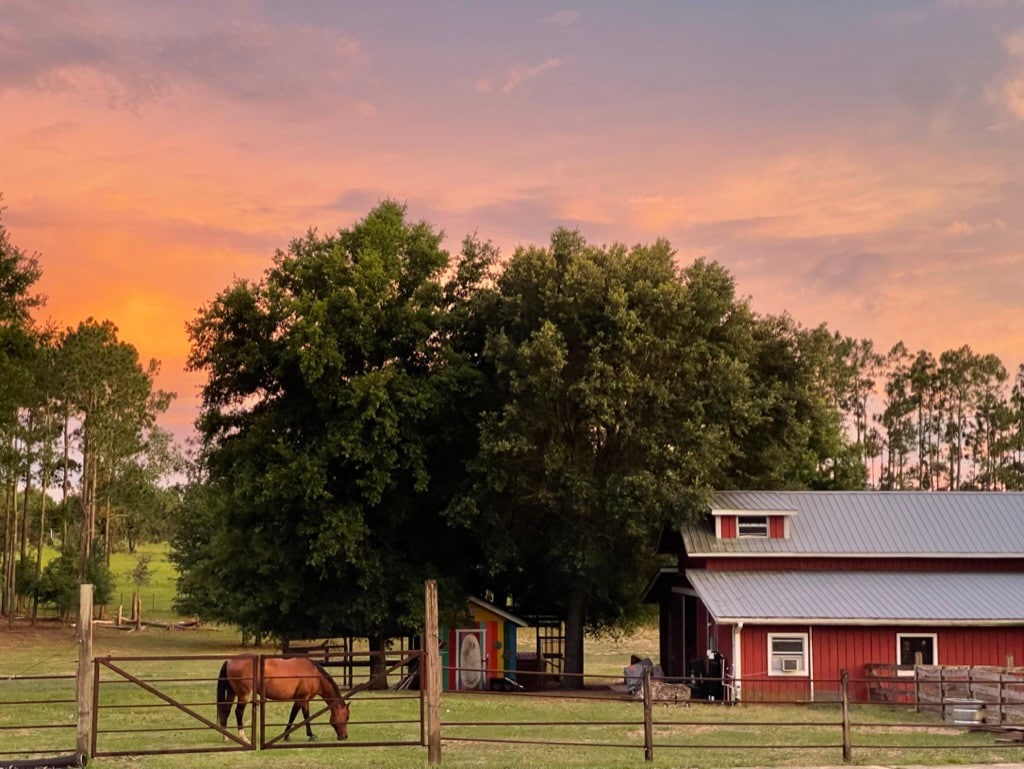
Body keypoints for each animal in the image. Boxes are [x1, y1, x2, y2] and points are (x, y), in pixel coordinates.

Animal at [214, 655, 350, 745]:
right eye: (347, 717)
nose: (344, 736)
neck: (313, 673)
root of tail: (230, 660)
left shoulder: (305, 699)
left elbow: (306, 716)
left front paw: (311, 735)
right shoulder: (300, 699)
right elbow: (293, 717)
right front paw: (286, 736)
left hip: (232, 692)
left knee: (226, 710)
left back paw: (225, 737)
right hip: (244, 695)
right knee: (238, 712)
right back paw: (243, 738)